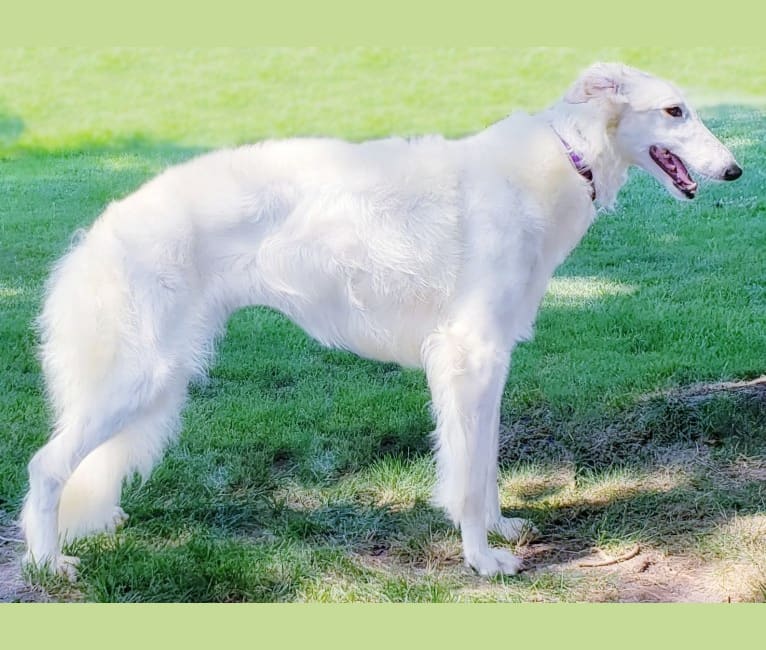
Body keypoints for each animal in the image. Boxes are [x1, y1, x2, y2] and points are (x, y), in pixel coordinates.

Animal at [21, 62, 740, 576]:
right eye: (674, 110)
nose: (734, 170)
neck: (562, 159)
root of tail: (103, 228)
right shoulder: (467, 354)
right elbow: (468, 473)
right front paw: (483, 560)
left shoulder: (492, 358)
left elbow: (483, 462)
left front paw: (501, 530)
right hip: (142, 373)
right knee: (46, 464)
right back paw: (49, 562)